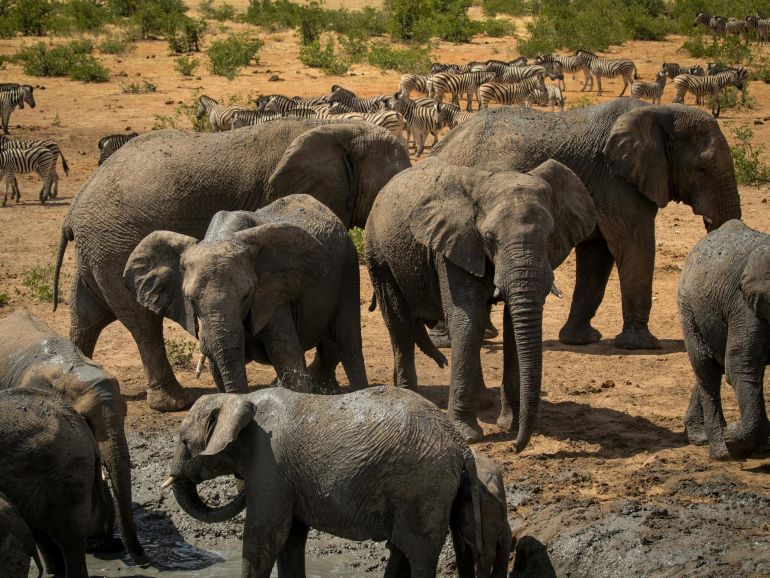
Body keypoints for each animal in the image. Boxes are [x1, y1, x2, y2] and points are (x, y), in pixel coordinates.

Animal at [123, 195, 367, 395]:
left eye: (246, 296)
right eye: (191, 301)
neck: (223, 236)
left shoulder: (274, 294)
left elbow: (288, 362)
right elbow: (217, 370)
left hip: (348, 268)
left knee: (347, 340)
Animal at [163, 386, 481, 577]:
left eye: (184, 441)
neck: (240, 398)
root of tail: (461, 446)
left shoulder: (269, 464)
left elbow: (265, 535)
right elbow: (291, 537)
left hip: (422, 488)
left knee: (419, 553)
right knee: (404, 550)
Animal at [364, 159, 596, 446]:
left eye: (550, 234)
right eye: (489, 238)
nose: (517, 446)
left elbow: (512, 328)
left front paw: (510, 425)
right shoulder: (454, 245)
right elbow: (468, 321)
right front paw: (468, 435)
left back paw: (483, 401)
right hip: (378, 252)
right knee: (399, 323)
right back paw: (409, 396)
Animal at [430, 99, 742, 350]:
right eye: (700, 170)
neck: (660, 110)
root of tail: (443, 145)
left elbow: (597, 257)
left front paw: (581, 340)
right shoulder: (616, 182)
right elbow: (635, 246)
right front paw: (642, 346)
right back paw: (453, 339)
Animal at [678, 219, 770, 460]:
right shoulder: (747, 308)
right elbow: (740, 368)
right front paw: (733, 440)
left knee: (713, 367)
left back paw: (699, 437)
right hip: (688, 306)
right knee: (706, 368)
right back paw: (720, 450)